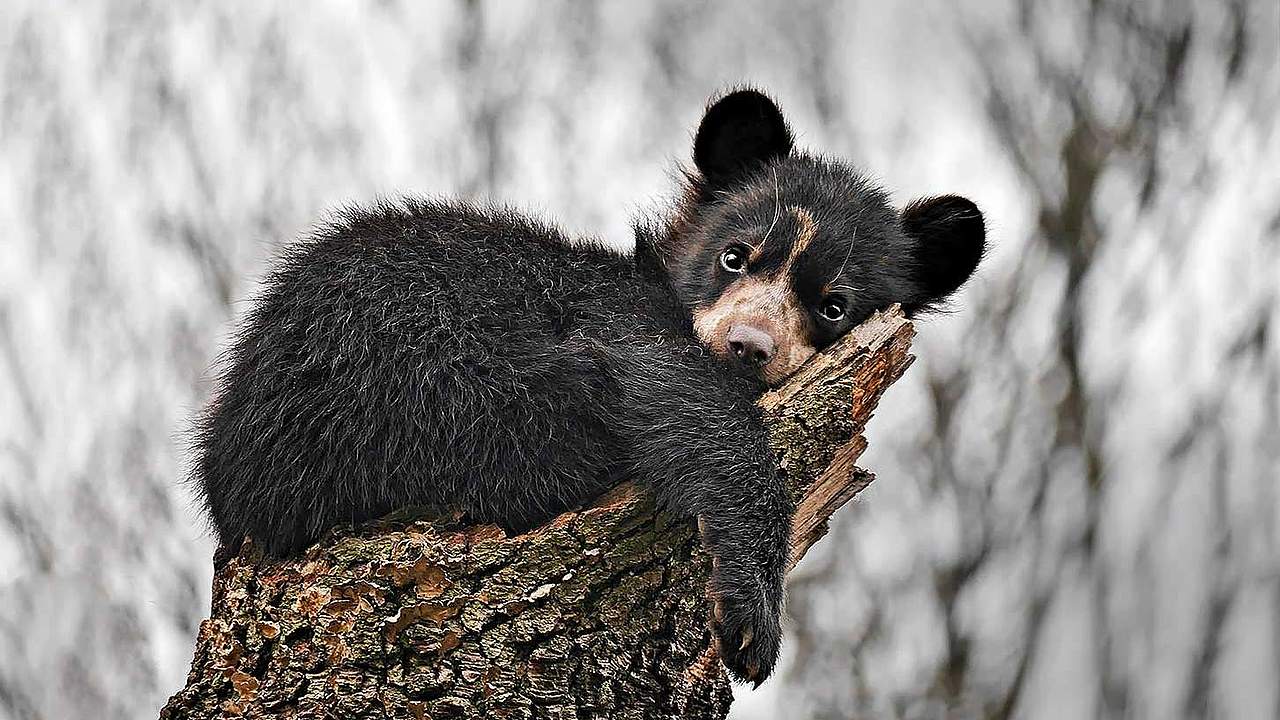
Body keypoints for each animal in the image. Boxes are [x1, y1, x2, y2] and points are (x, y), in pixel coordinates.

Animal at [192, 87, 988, 681]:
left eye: (834, 305)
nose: (746, 347)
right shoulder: (615, 313)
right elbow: (676, 392)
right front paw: (753, 620)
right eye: (735, 256)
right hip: (426, 379)